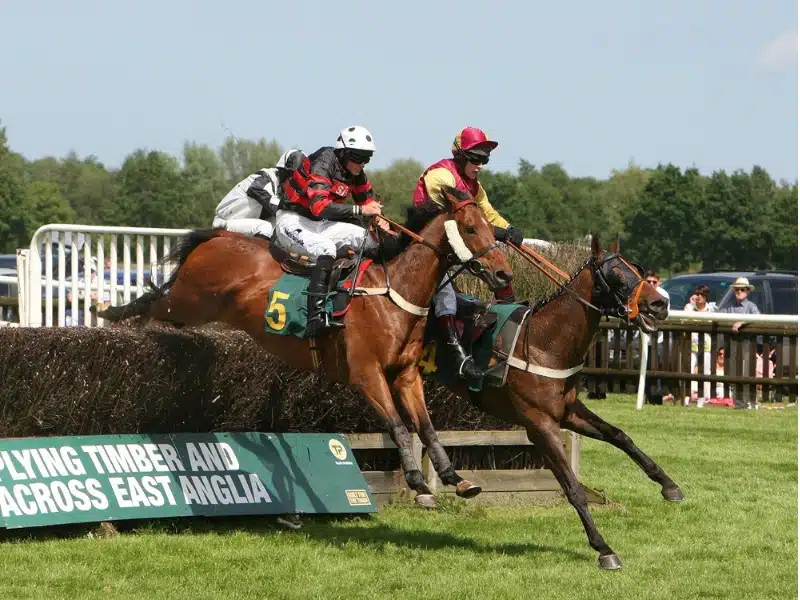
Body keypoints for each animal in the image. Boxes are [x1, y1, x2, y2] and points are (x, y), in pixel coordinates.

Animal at [97, 186, 516, 506]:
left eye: (490, 228)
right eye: (470, 228)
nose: (503, 274)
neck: (393, 294)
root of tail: (220, 235)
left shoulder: (406, 376)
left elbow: (427, 428)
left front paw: (455, 478)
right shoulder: (367, 374)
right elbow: (397, 426)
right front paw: (415, 480)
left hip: (194, 308)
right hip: (191, 298)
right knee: (153, 300)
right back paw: (113, 314)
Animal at [450, 237, 680, 568]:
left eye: (637, 269)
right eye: (616, 275)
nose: (660, 304)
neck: (543, 344)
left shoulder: (569, 411)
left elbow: (619, 435)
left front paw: (668, 484)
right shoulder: (540, 426)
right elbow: (573, 488)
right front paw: (603, 548)